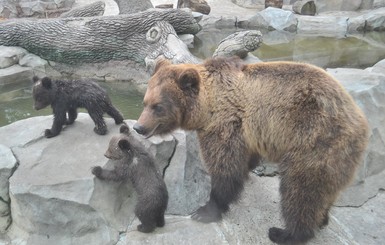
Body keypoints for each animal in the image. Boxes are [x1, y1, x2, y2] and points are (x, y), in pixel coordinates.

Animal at [133, 57, 368, 243]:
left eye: (158, 106)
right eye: (145, 102)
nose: (139, 127)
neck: (207, 107)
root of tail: (360, 121)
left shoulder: (225, 124)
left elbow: (225, 168)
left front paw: (204, 211)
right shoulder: (249, 133)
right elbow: (244, 160)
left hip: (314, 138)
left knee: (300, 189)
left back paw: (285, 233)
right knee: (323, 189)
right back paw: (322, 219)